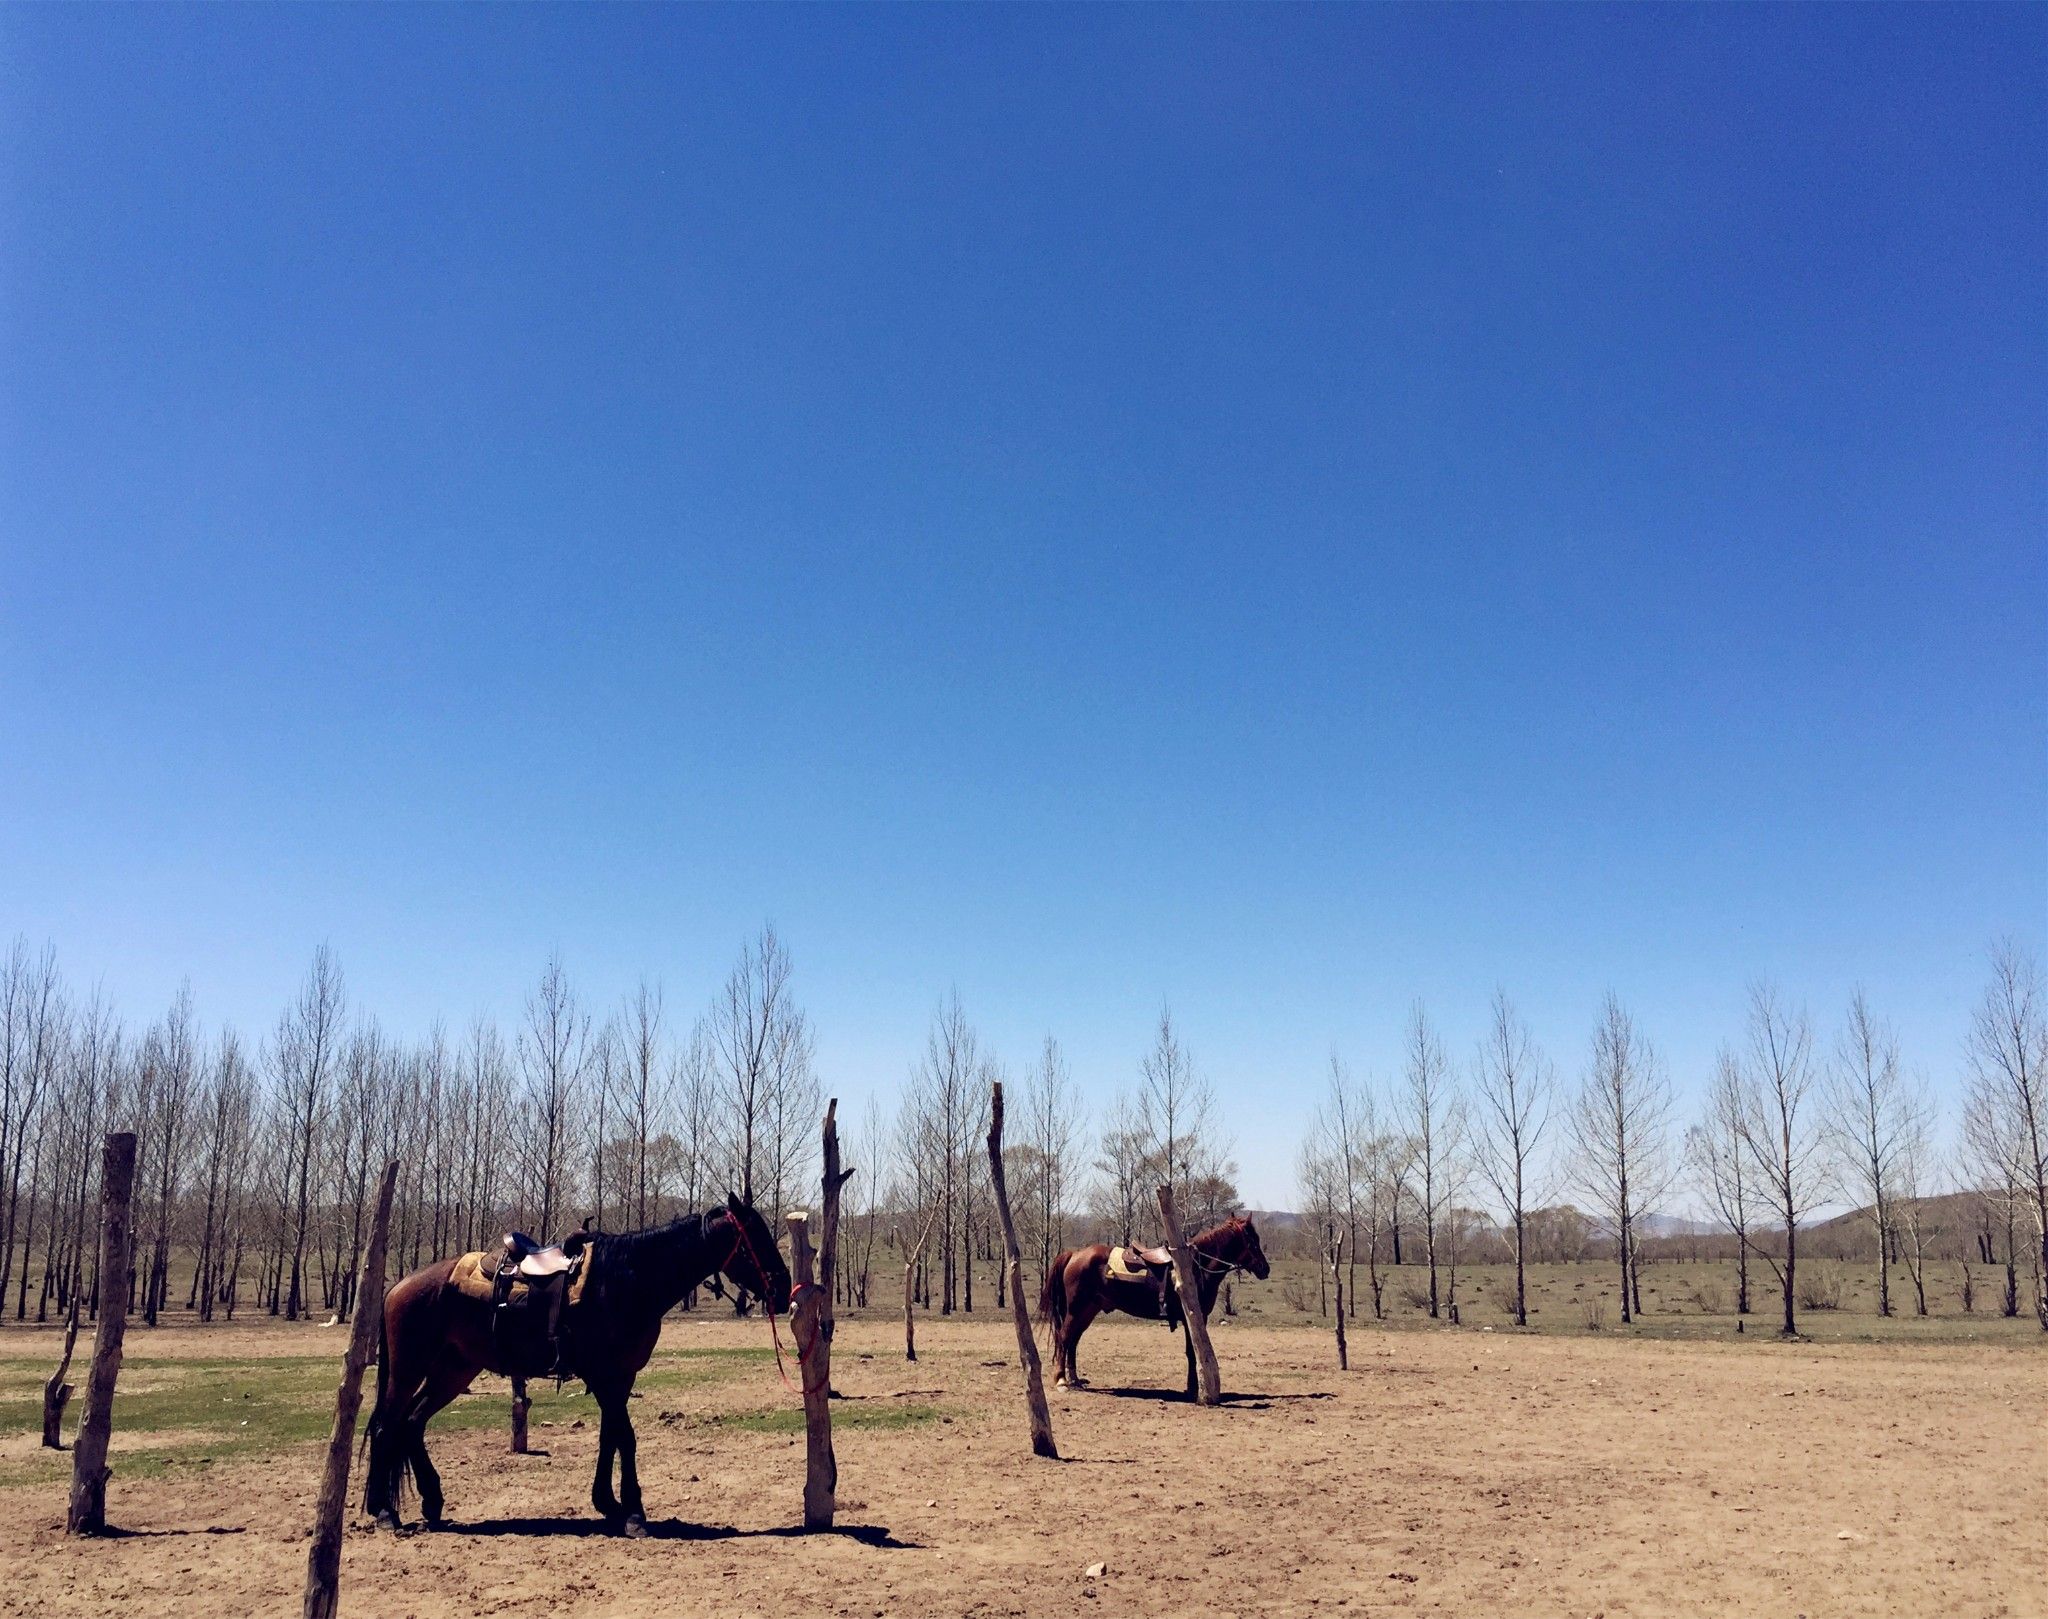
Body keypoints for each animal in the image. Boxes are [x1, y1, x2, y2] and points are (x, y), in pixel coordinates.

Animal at [364, 1195, 786, 1539]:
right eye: (755, 1238)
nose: (783, 1289)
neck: (628, 1279)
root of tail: (399, 1286)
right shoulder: (604, 1375)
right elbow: (625, 1437)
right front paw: (634, 1513)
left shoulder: (621, 1377)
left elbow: (609, 1436)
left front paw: (609, 1504)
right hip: (408, 1369)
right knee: (387, 1425)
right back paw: (384, 1512)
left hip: (453, 1370)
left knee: (412, 1423)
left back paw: (432, 1502)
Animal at [1040, 1219, 1261, 1399]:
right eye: (1252, 1241)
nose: (1265, 1269)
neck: (1196, 1268)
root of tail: (1074, 1254)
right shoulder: (1193, 1318)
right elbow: (1192, 1352)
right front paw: (1193, 1389)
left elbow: (1192, 1352)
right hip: (1076, 1310)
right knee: (1064, 1337)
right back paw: (1061, 1381)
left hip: (1088, 1310)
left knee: (1073, 1340)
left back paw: (1075, 1380)